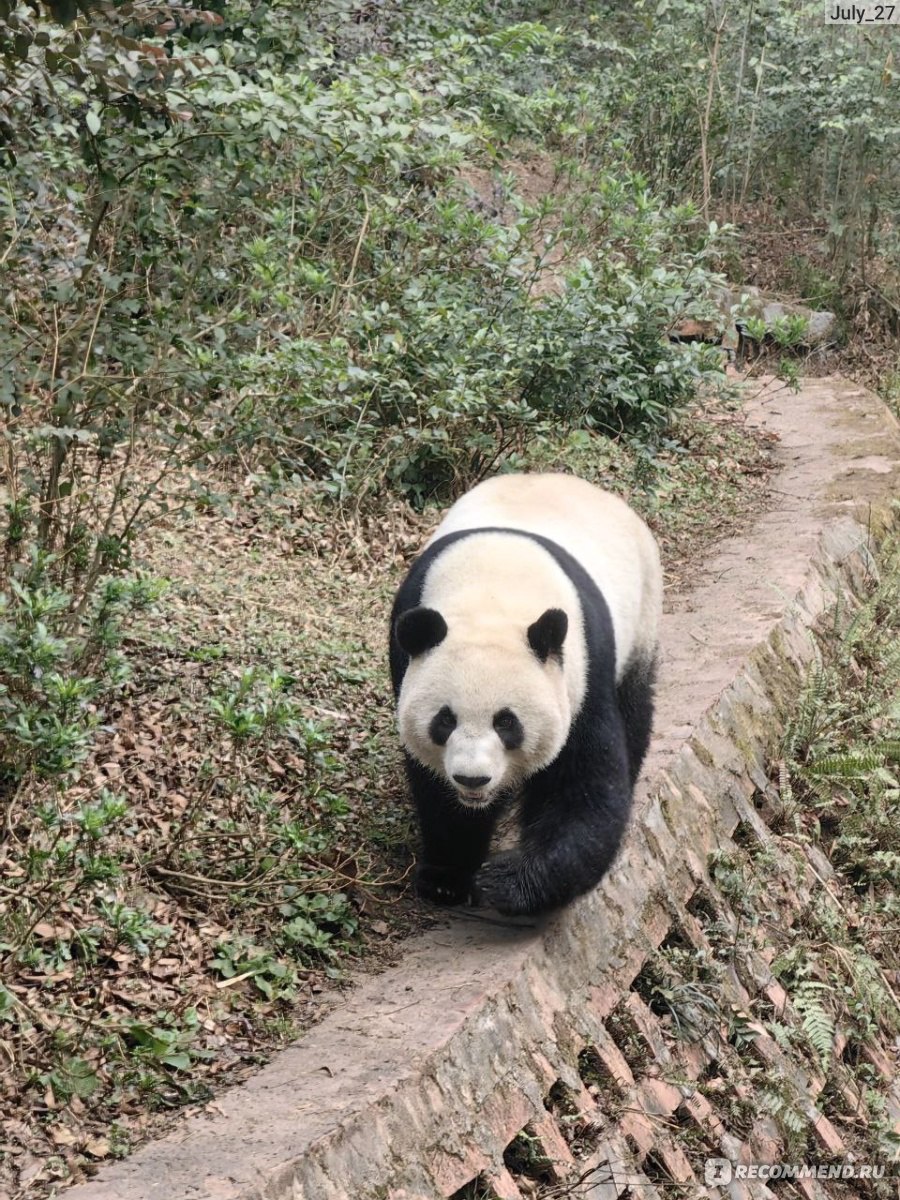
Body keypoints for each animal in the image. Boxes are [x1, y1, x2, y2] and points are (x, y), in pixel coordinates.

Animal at [388, 472, 662, 912]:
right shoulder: (405, 655)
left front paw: (507, 881)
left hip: (642, 618)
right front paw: (446, 878)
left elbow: (582, 786)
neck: (492, 593)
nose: (472, 778)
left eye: (507, 723)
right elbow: (435, 789)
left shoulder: (582, 668)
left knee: (635, 709)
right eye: (444, 721)